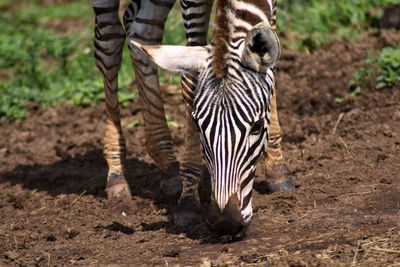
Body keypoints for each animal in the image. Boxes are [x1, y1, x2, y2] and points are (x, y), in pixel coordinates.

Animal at [93, 0, 294, 239]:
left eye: (257, 127)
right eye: (197, 125)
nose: (225, 223)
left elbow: (272, 61)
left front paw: (277, 165)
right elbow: (190, 80)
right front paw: (188, 200)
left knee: (142, 31)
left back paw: (168, 167)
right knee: (109, 43)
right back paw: (117, 174)